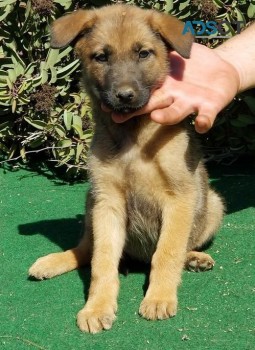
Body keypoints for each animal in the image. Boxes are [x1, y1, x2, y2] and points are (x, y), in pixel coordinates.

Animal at [29, 4, 223, 334]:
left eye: (143, 53)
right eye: (101, 57)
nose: (124, 95)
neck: (133, 136)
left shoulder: (179, 198)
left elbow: (167, 252)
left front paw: (158, 298)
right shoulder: (108, 203)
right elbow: (102, 262)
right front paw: (97, 306)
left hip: (212, 205)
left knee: (179, 247)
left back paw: (194, 258)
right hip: (91, 202)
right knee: (86, 250)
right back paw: (52, 262)